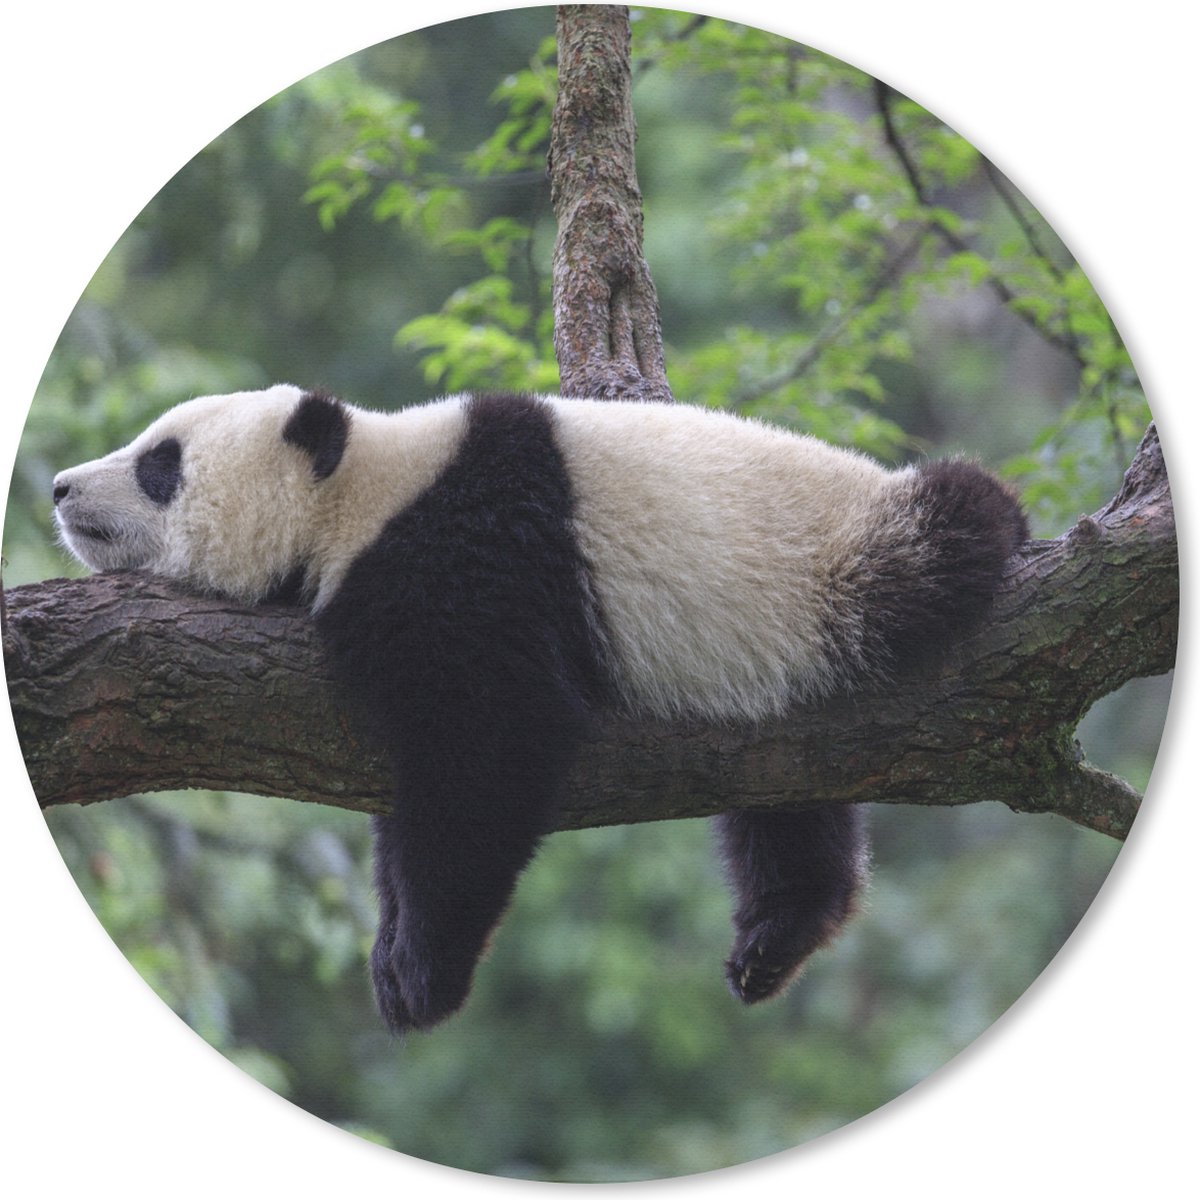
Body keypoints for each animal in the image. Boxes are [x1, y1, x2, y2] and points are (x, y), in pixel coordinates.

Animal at [52, 383, 1027, 1033]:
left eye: (160, 463)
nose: (60, 487)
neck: (362, 490)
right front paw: (394, 949)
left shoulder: (469, 556)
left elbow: (490, 748)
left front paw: (420, 973)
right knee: (787, 801)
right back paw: (776, 936)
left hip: (839, 564)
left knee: (949, 528)